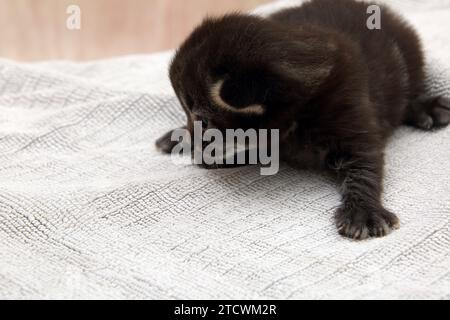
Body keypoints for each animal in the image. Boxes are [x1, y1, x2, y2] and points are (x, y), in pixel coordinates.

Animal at [156, 0, 450, 240]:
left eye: (204, 122)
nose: (195, 152)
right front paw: (182, 137)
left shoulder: (353, 114)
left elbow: (366, 165)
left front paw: (363, 212)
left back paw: (428, 108)